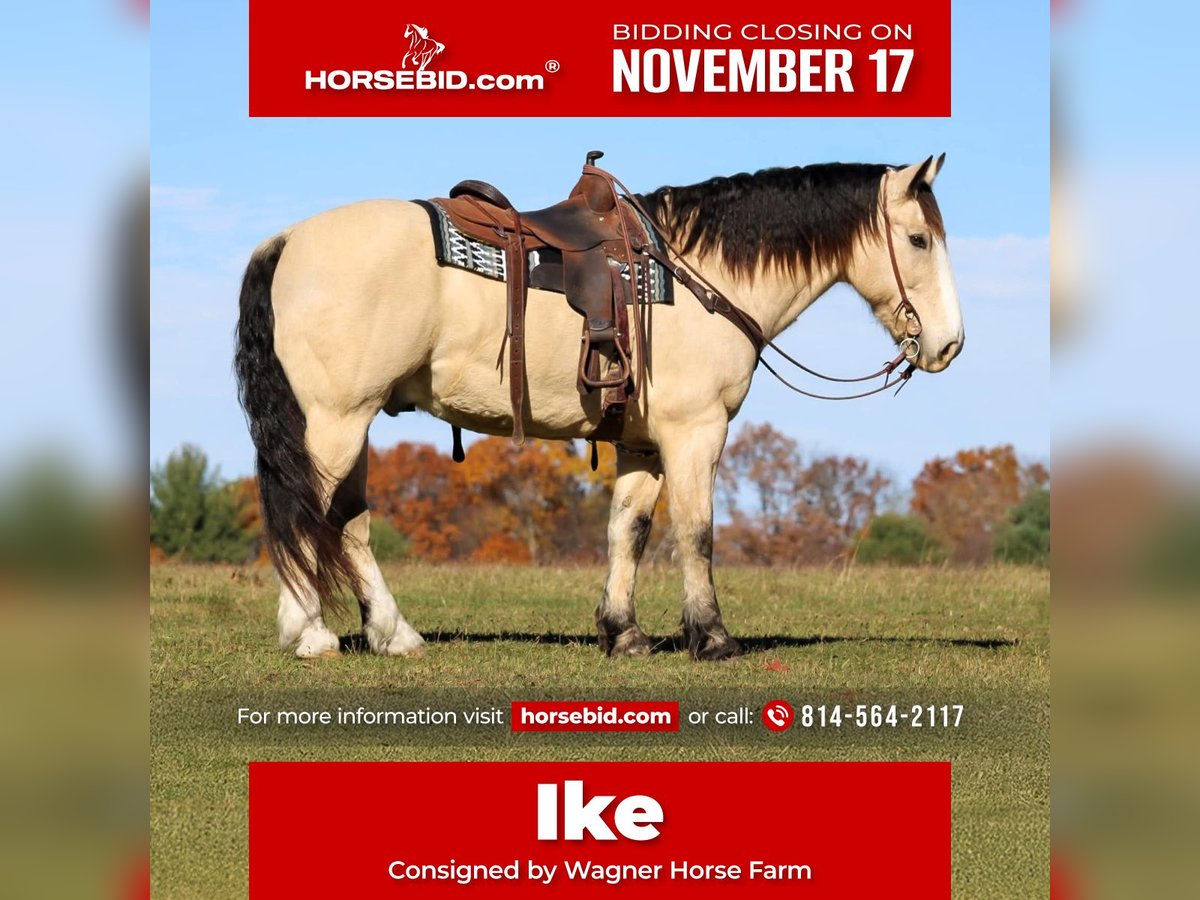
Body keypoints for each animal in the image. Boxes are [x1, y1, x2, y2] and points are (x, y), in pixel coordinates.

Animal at [233, 155, 964, 661]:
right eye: (919, 240)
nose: (948, 344)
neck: (701, 274)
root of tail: (286, 242)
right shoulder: (696, 433)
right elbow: (697, 532)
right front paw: (713, 637)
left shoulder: (642, 444)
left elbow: (627, 532)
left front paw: (624, 633)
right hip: (336, 422)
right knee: (313, 517)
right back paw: (312, 635)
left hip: (348, 426)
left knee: (345, 523)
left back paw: (391, 633)